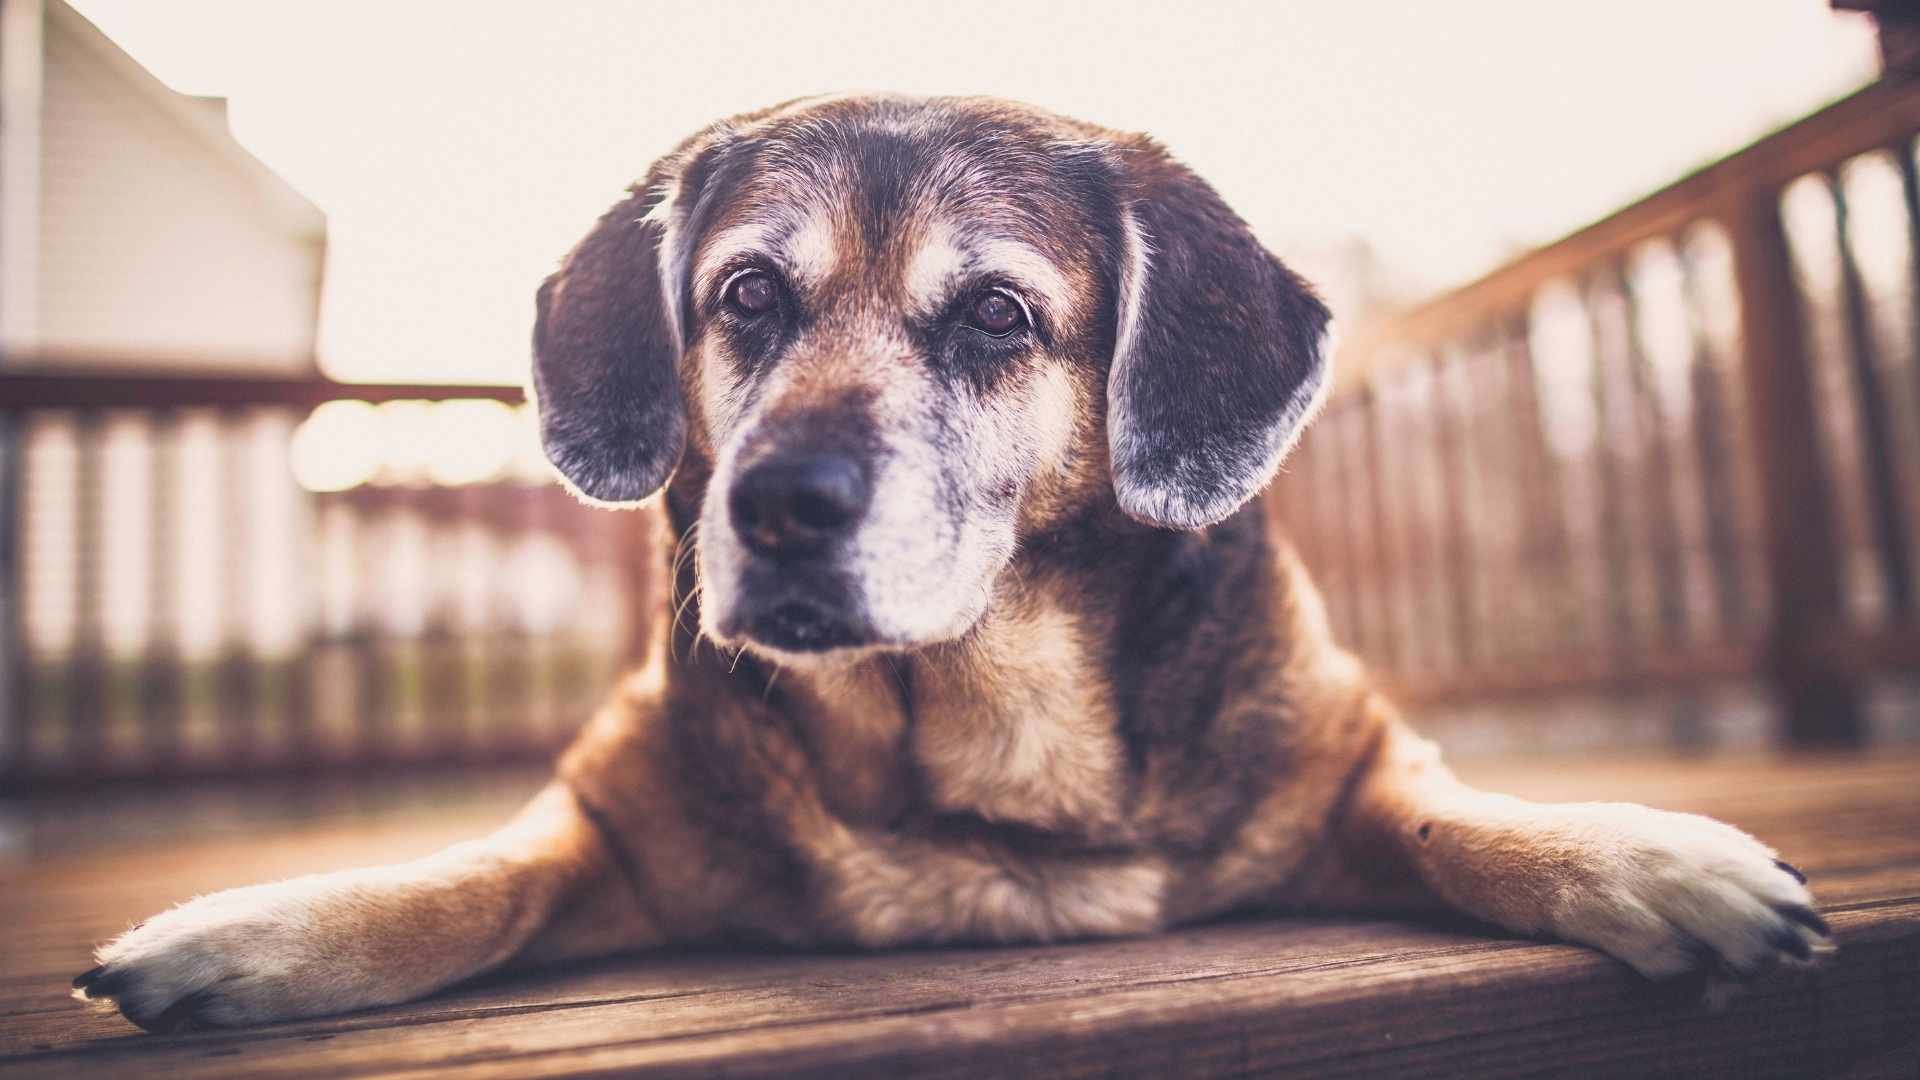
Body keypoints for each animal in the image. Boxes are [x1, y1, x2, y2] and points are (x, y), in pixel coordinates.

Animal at [74, 96, 1827, 1030]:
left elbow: (1463, 819)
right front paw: (246, 937)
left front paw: (1654, 859)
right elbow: (474, 880)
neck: (977, 748)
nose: (778, 506)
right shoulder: (615, 822)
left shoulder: (1349, 764)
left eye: (995, 313)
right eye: (746, 297)